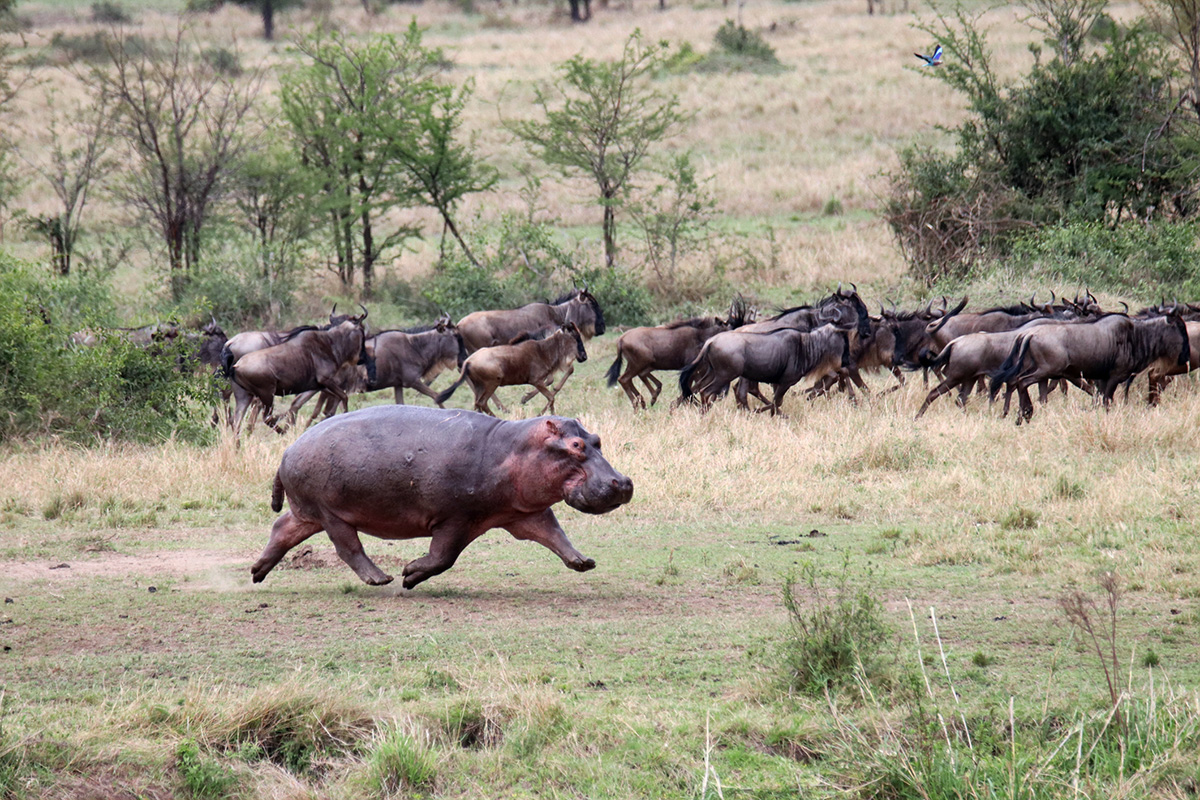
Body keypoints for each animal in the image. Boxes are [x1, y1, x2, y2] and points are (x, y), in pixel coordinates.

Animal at [248, 407, 633, 587]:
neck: (514, 448)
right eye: (576, 445)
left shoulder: (524, 512)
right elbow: (443, 556)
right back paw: (381, 578)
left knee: (282, 529)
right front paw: (409, 574)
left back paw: (256, 572)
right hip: (332, 513)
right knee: (348, 547)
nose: (623, 482)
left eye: (597, 439)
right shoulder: (456, 518)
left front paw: (583, 562)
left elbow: (554, 534)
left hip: (308, 512)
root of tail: (287, 451)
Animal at [441, 321, 590, 417]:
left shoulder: (539, 381)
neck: (544, 350)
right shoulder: (536, 381)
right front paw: (541, 413)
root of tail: (468, 361)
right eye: (576, 337)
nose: (584, 356)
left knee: (477, 403)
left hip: (479, 386)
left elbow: (551, 395)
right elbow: (551, 397)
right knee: (482, 402)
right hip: (492, 383)